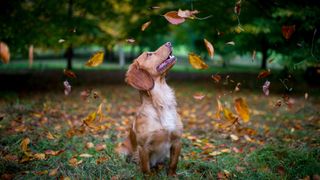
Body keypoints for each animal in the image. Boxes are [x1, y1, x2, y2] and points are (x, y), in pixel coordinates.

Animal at [117, 42, 182, 176]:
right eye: (149, 54)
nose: (169, 43)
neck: (161, 102)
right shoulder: (144, 147)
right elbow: (146, 168)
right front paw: (149, 176)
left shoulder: (177, 141)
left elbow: (173, 164)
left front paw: (172, 176)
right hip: (121, 150)